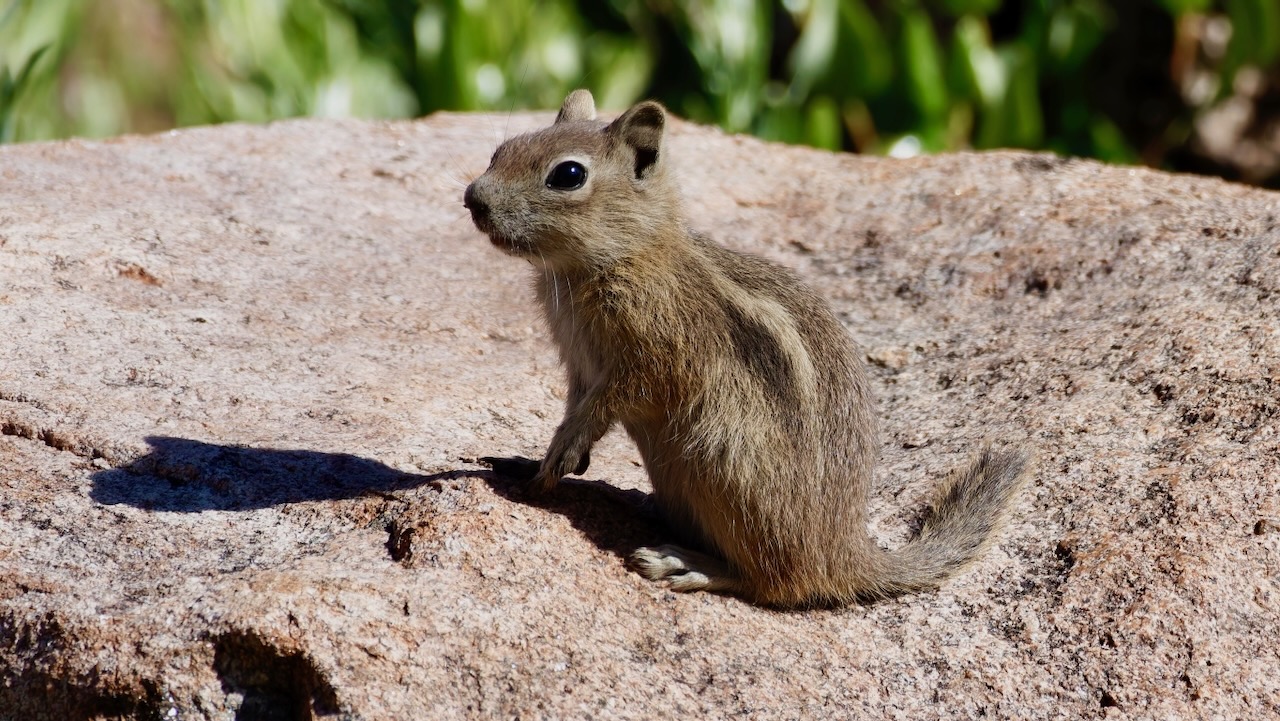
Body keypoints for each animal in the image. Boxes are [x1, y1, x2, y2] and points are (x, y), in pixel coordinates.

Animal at [463, 91, 1029, 609]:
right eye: (500, 150)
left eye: (568, 175)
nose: (473, 199)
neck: (625, 255)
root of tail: (845, 554)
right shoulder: (578, 363)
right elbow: (573, 406)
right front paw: (540, 459)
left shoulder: (653, 357)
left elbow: (609, 402)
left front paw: (561, 456)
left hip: (725, 463)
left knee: (780, 582)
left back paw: (686, 563)